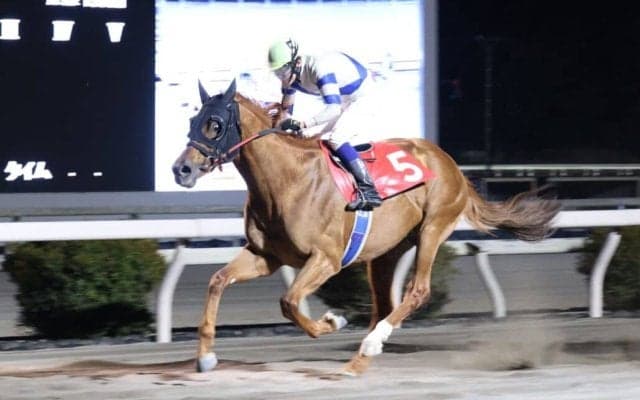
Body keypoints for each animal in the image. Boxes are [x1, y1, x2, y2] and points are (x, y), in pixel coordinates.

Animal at [172, 79, 560, 375]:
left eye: (215, 124)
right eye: (192, 120)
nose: (181, 169)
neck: (287, 180)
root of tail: (450, 164)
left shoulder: (326, 258)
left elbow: (289, 302)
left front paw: (333, 322)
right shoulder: (265, 255)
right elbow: (218, 280)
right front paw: (205, 357)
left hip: (434, 228)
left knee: (417, 291)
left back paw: (372, 343)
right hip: (386, 252)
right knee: (385, 302)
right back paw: (360, 358)